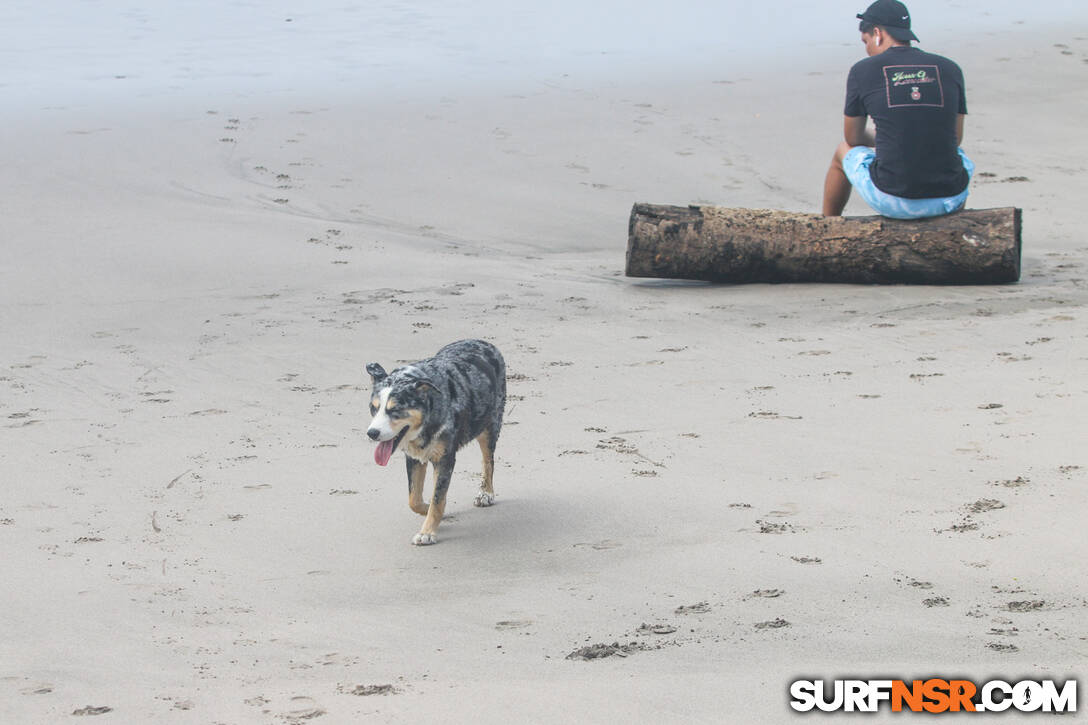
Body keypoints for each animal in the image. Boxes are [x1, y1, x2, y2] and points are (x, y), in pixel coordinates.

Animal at [363, 339, 502, 542]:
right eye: (374, 408)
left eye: (395, 410)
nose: (372, 433)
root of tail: (482, 342)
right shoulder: (413, 457)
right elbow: (414, 498)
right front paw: (428, 510)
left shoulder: (444, 459)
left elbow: (438, 498)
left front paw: (427, 533)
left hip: (489, 426)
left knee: (488, 461)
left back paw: (486, 493)